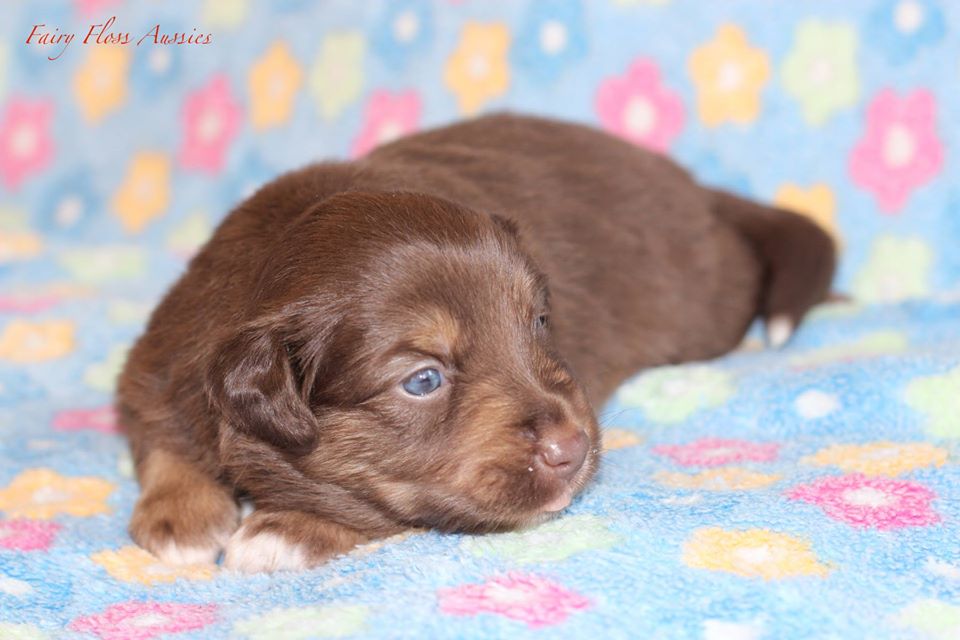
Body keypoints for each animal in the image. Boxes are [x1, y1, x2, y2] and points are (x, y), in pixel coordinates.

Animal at [116, 112, 832, 572]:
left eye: (539, 323)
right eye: (423, 380)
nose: (574, 448)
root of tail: (698, 191)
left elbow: (380, 507)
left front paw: (284, 530)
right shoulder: (162, 362)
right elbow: (158, 437)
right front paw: (182, 516)